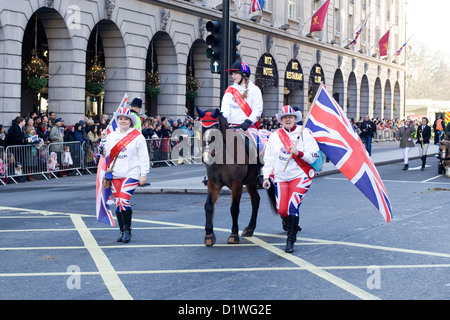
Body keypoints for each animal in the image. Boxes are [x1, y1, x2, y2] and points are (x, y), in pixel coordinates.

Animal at [196, 108, 270, 248]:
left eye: (215, 129)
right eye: (202, 128)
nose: (207, 157)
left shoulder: (237, 183)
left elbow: (234, 208)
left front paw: (234, 235)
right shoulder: (213, 183)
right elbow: (208, 205)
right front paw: (209, 235)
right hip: (251, 182)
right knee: (256, 200)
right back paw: (250, 228)